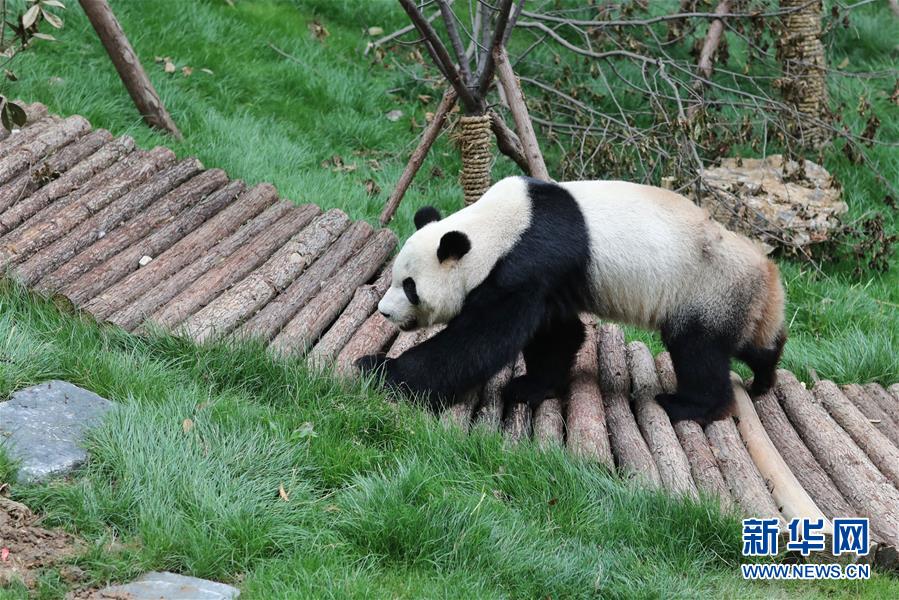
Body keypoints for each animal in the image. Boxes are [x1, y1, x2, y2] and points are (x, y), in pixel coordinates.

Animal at [356, 176, 784, 424]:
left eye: (410, 287)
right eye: (394, 279)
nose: (385, 312)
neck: (499, 226)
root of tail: (767, 274)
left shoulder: (530, 259)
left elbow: (481, 340)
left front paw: (380, 370)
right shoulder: (551, 277)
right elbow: (556, 334)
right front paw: (533, 386)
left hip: (704, 287)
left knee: (698, 351)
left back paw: (690, 406)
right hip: (731, 299)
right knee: (748, 342)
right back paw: (765, 373)